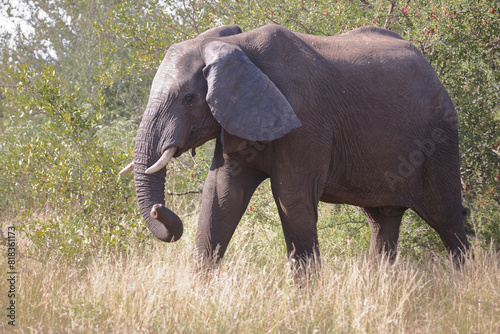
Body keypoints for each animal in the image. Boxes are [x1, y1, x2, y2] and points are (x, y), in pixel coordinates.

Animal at [120, 24, 468, 272]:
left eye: (189, 98)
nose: (159, 209)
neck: (239, 46)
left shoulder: (305, 121)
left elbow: (293, 197)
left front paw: (308, 301)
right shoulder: (237, 121)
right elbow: (221, 195)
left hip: (440, 139)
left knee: (448, 219)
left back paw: (464, 287)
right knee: (383, 221)